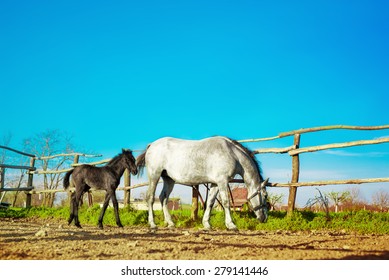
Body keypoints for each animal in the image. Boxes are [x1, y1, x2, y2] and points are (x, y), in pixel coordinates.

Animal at [135, 136, 268, 230]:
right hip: (154, 176)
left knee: (163, 198)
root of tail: (151, 145)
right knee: (150, 197)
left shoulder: (215, 184)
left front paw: (207, 224)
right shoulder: (222, 181)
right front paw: (231, 225)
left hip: (169, 179)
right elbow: (226, 202)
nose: (264, 218)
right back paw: (153, 224)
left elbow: (210, 202)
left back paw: (171, 223)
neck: (232, 153)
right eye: (265, 196)